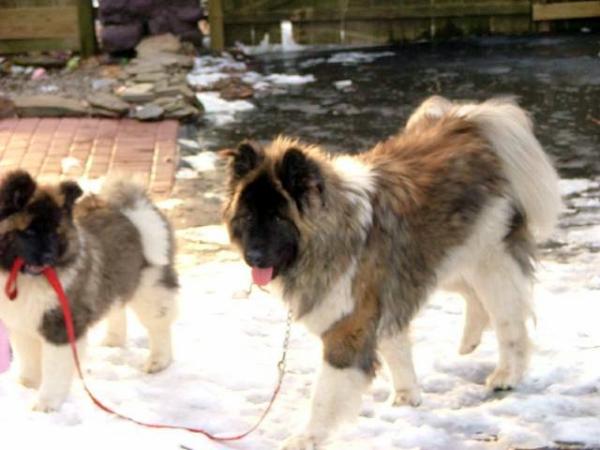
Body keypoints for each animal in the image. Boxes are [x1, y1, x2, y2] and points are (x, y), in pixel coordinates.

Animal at [0, 171, 178, 412]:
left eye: (55, 234)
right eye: (29, 232)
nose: (49, 257)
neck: (26, 279)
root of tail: (131, 212)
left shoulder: (61, 327)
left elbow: (54, 370)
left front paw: (46, 404)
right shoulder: (21, 324)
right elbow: (29, 360)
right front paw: (28, 385)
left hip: (150, 287)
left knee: (158, 326)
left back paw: (158, 361)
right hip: (117, 281)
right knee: (117, 307)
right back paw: (113, 341)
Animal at [222, 96, 562, 449]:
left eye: (278, 218)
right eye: (249, 216)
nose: (253, 257)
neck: (330, 232)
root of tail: (468, 124)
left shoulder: (349, 327)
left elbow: (324, 394)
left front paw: (307, 437)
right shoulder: (383, 296)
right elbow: (396, 347)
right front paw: (407, 396)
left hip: (490, 258)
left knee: (510, 322)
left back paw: (507, 374)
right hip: (438, 258)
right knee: (473, 296)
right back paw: (470, 340)